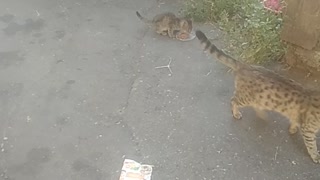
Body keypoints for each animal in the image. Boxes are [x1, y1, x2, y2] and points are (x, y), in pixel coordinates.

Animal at [196, 30, 320, 164]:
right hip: (246, 98)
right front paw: (316, 156)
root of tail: (245, 65)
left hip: (260, 99)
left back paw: (262, 114)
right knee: (233, 100)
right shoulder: (308, 130)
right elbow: (312, 146)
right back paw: (236, 113)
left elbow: (294, 121)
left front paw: (292, 129)